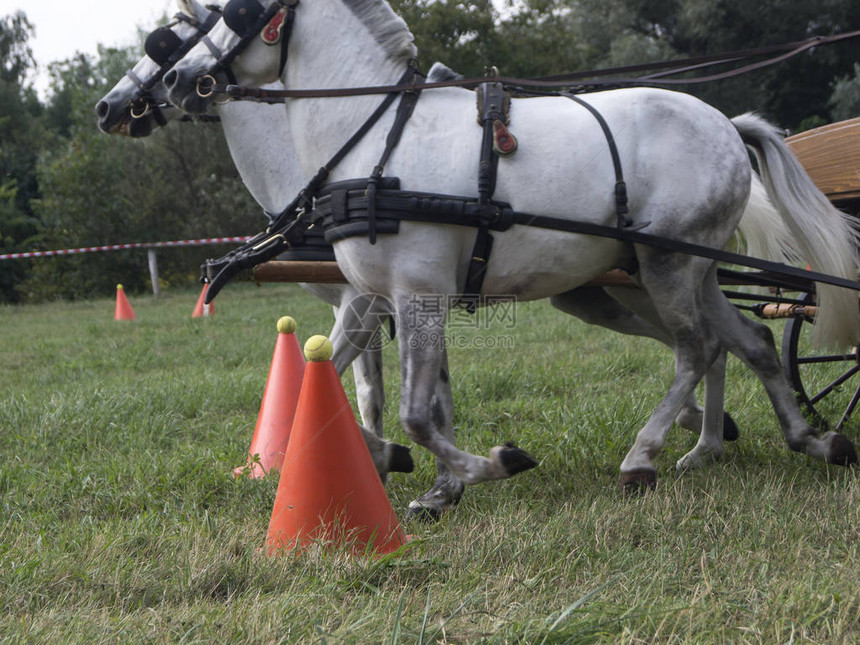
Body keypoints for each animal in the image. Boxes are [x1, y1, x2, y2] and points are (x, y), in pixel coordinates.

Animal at [163, 0, 860, 504]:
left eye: (236, 14)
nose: (175, 79)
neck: (378, 140)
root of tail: (726, 124)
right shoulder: (368, 299)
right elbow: (322, 392)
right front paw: (392, 461)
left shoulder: (417, 295)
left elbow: (416, 414)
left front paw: (492, 464)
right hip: (692, 267)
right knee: (750, 341)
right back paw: (805, 440)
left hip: (665, 267)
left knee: (697, 349)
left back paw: (643, 457)